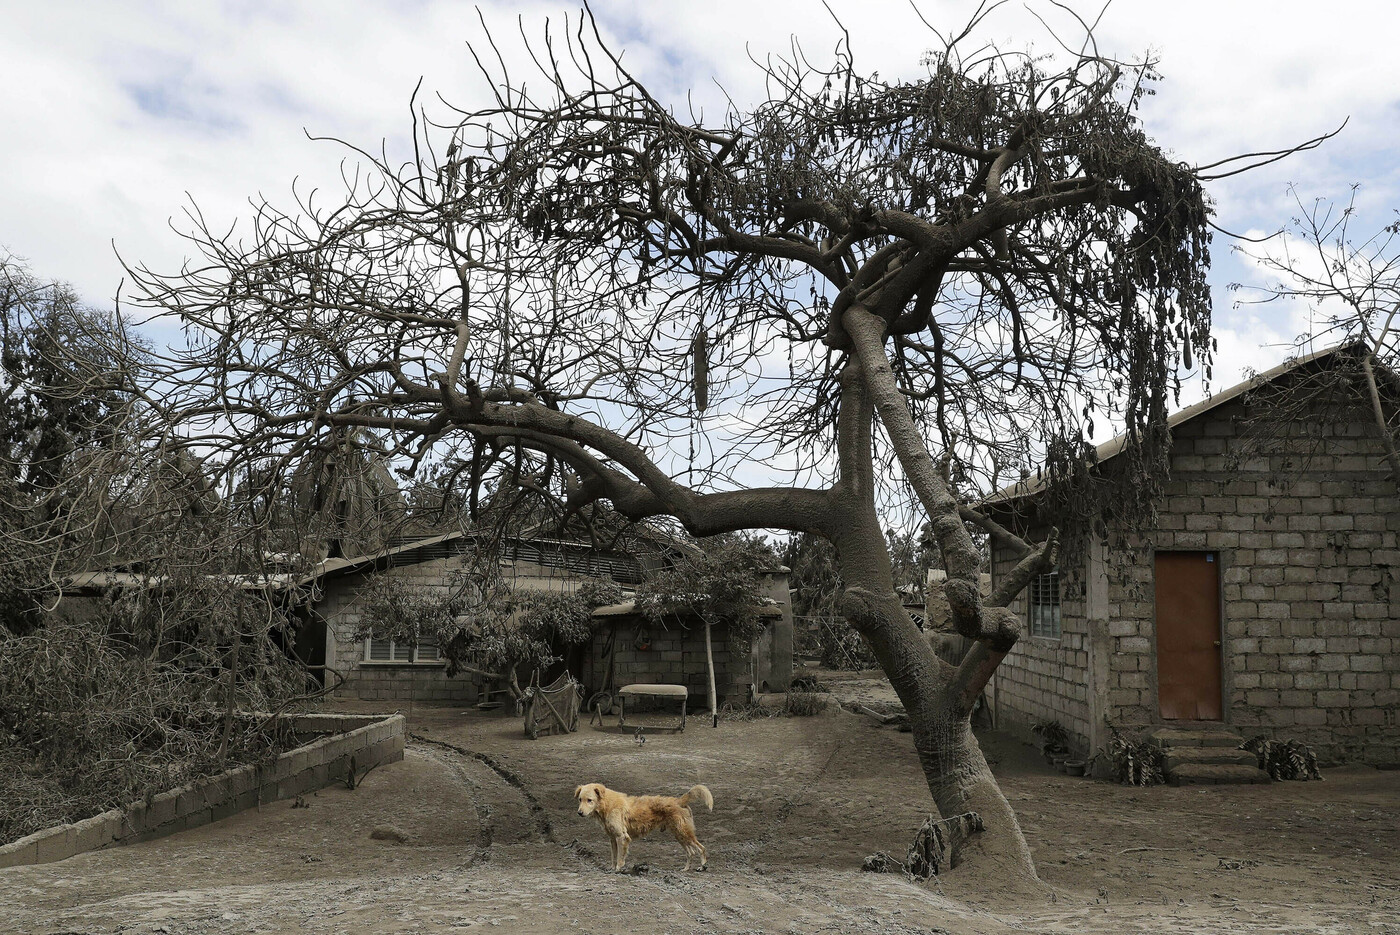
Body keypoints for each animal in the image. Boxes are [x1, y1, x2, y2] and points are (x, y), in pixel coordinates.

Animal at [574, 778, 716, 873]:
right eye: (580, 799)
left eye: (589, 800)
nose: (579, 813)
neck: (607, 804)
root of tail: (679, 800)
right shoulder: (613, 838)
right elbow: (614, 857)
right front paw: (612, 868)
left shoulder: (622, 837)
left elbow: (620, 857)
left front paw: (618, 869)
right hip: (679, 835)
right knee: (691, 852)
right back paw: (686, 869)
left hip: (684, 833)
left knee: (701, 848)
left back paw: (702, 866)